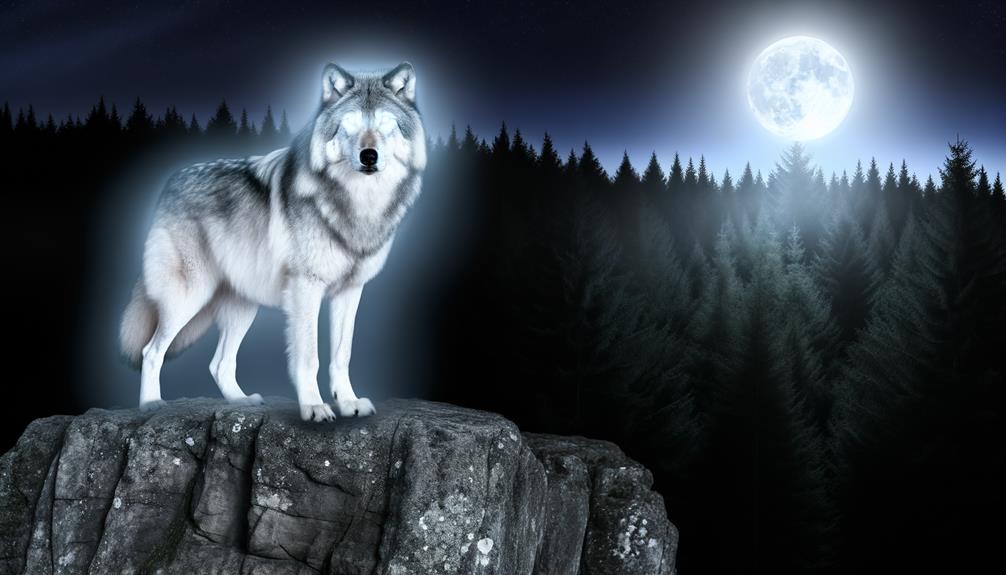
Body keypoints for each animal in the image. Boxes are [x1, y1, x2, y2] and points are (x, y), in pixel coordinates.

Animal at [119, 62, 426, 422]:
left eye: (384, 125)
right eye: (348, 126)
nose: (368, 156)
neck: (357, 206)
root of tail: (171, 182)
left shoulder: (350, 291)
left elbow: (342, 354)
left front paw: (349, 402)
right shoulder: (306, 288)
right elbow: (310, 357)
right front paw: (314, 406)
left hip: (242, 305)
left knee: (219, 363)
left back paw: (240, 402)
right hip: (188, 296)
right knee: (151, 351)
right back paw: (150, 404)